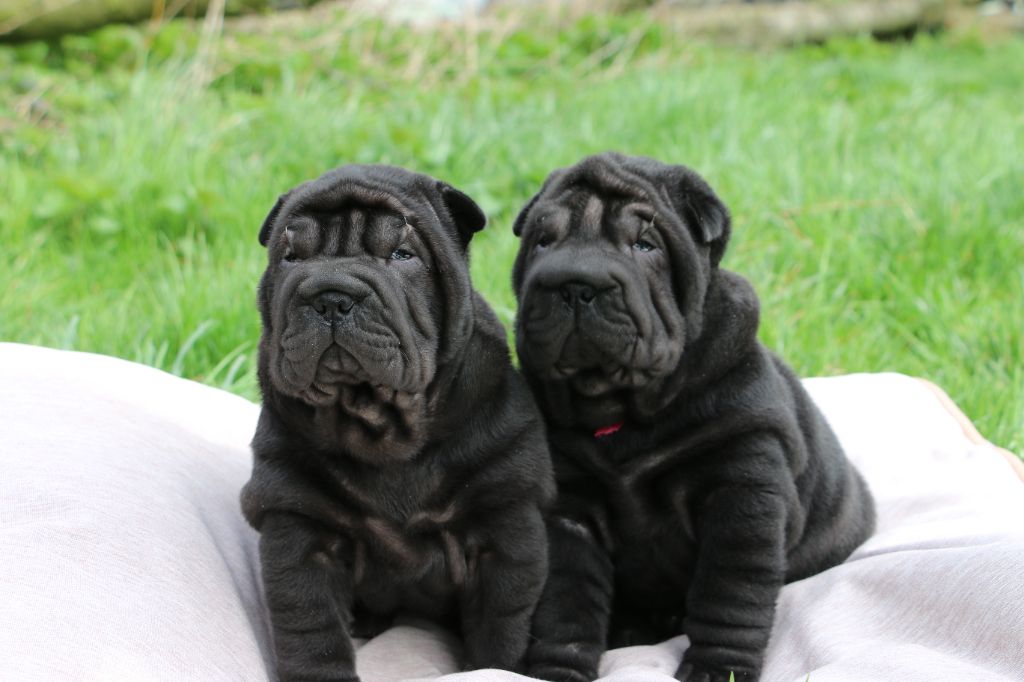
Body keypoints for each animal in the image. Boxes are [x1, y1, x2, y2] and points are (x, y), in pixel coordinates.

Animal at [240, 164, 557, 679]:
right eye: (290, 257)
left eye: (402, 255)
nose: (331, 296)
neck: (381, 424)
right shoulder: (298, 523)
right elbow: (308, 627)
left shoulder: (505, 522)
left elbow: (504, 623)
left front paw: (497, 667)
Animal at [516, 152, 876, 679]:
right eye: (543, 241)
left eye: (645, 245)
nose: (575, 285)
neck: (620, 405)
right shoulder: (569, 510)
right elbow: (567, 600)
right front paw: (558, 668)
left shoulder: (742, 491)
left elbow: (731, 592)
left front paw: (718, 668)